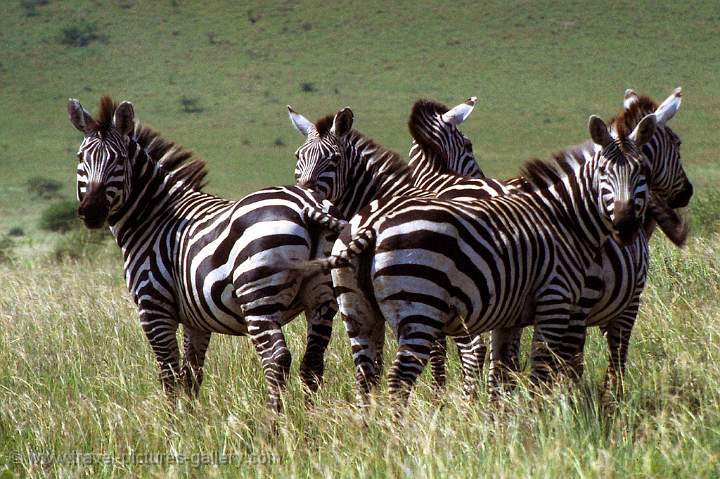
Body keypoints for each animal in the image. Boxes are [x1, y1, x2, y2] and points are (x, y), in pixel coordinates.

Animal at [68, 96, 346, 412]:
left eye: (120, 160)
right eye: (81, 158)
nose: (91, 212)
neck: (154, 216)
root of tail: (307, 204)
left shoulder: (153, 307)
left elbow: (169, 374)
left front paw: (172, 421)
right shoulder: (195, 319)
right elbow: (191, 374)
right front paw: (193, 418)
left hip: (257, 296)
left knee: (277, 357)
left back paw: (273, 422)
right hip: (321, 298)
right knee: (312, 363)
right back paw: (308, 422)